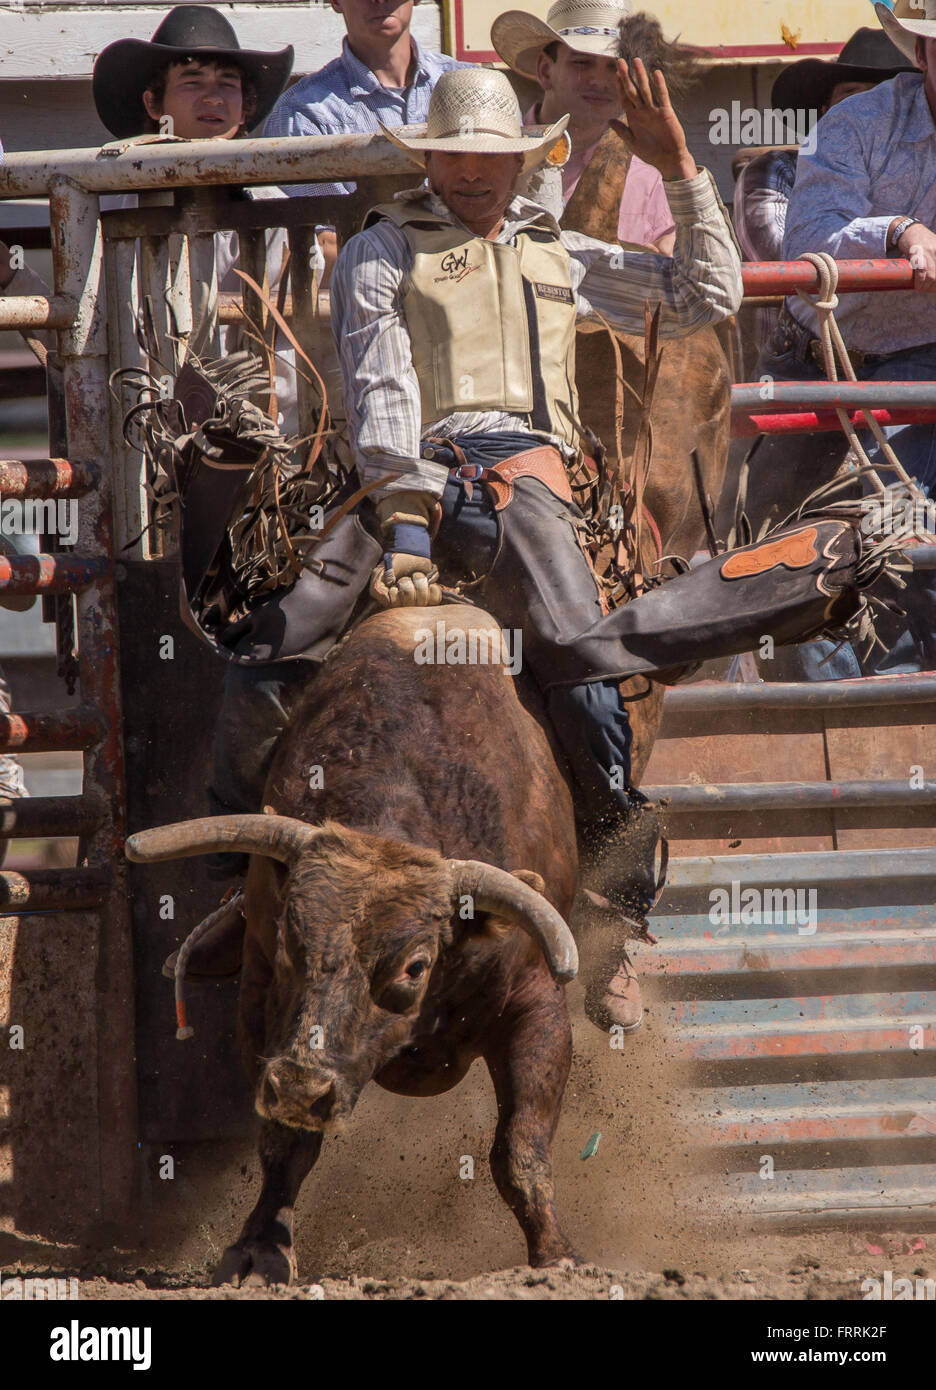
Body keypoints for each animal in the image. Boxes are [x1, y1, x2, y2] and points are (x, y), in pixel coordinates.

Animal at [126, 606, 584, 1278]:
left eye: (415, 966)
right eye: (289, 939)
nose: (300, 1086)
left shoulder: (538, 1005)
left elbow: (519, 1149)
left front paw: (553, 1253)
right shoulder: (260, 1000)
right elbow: (286, 1143)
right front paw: (260, 1247)